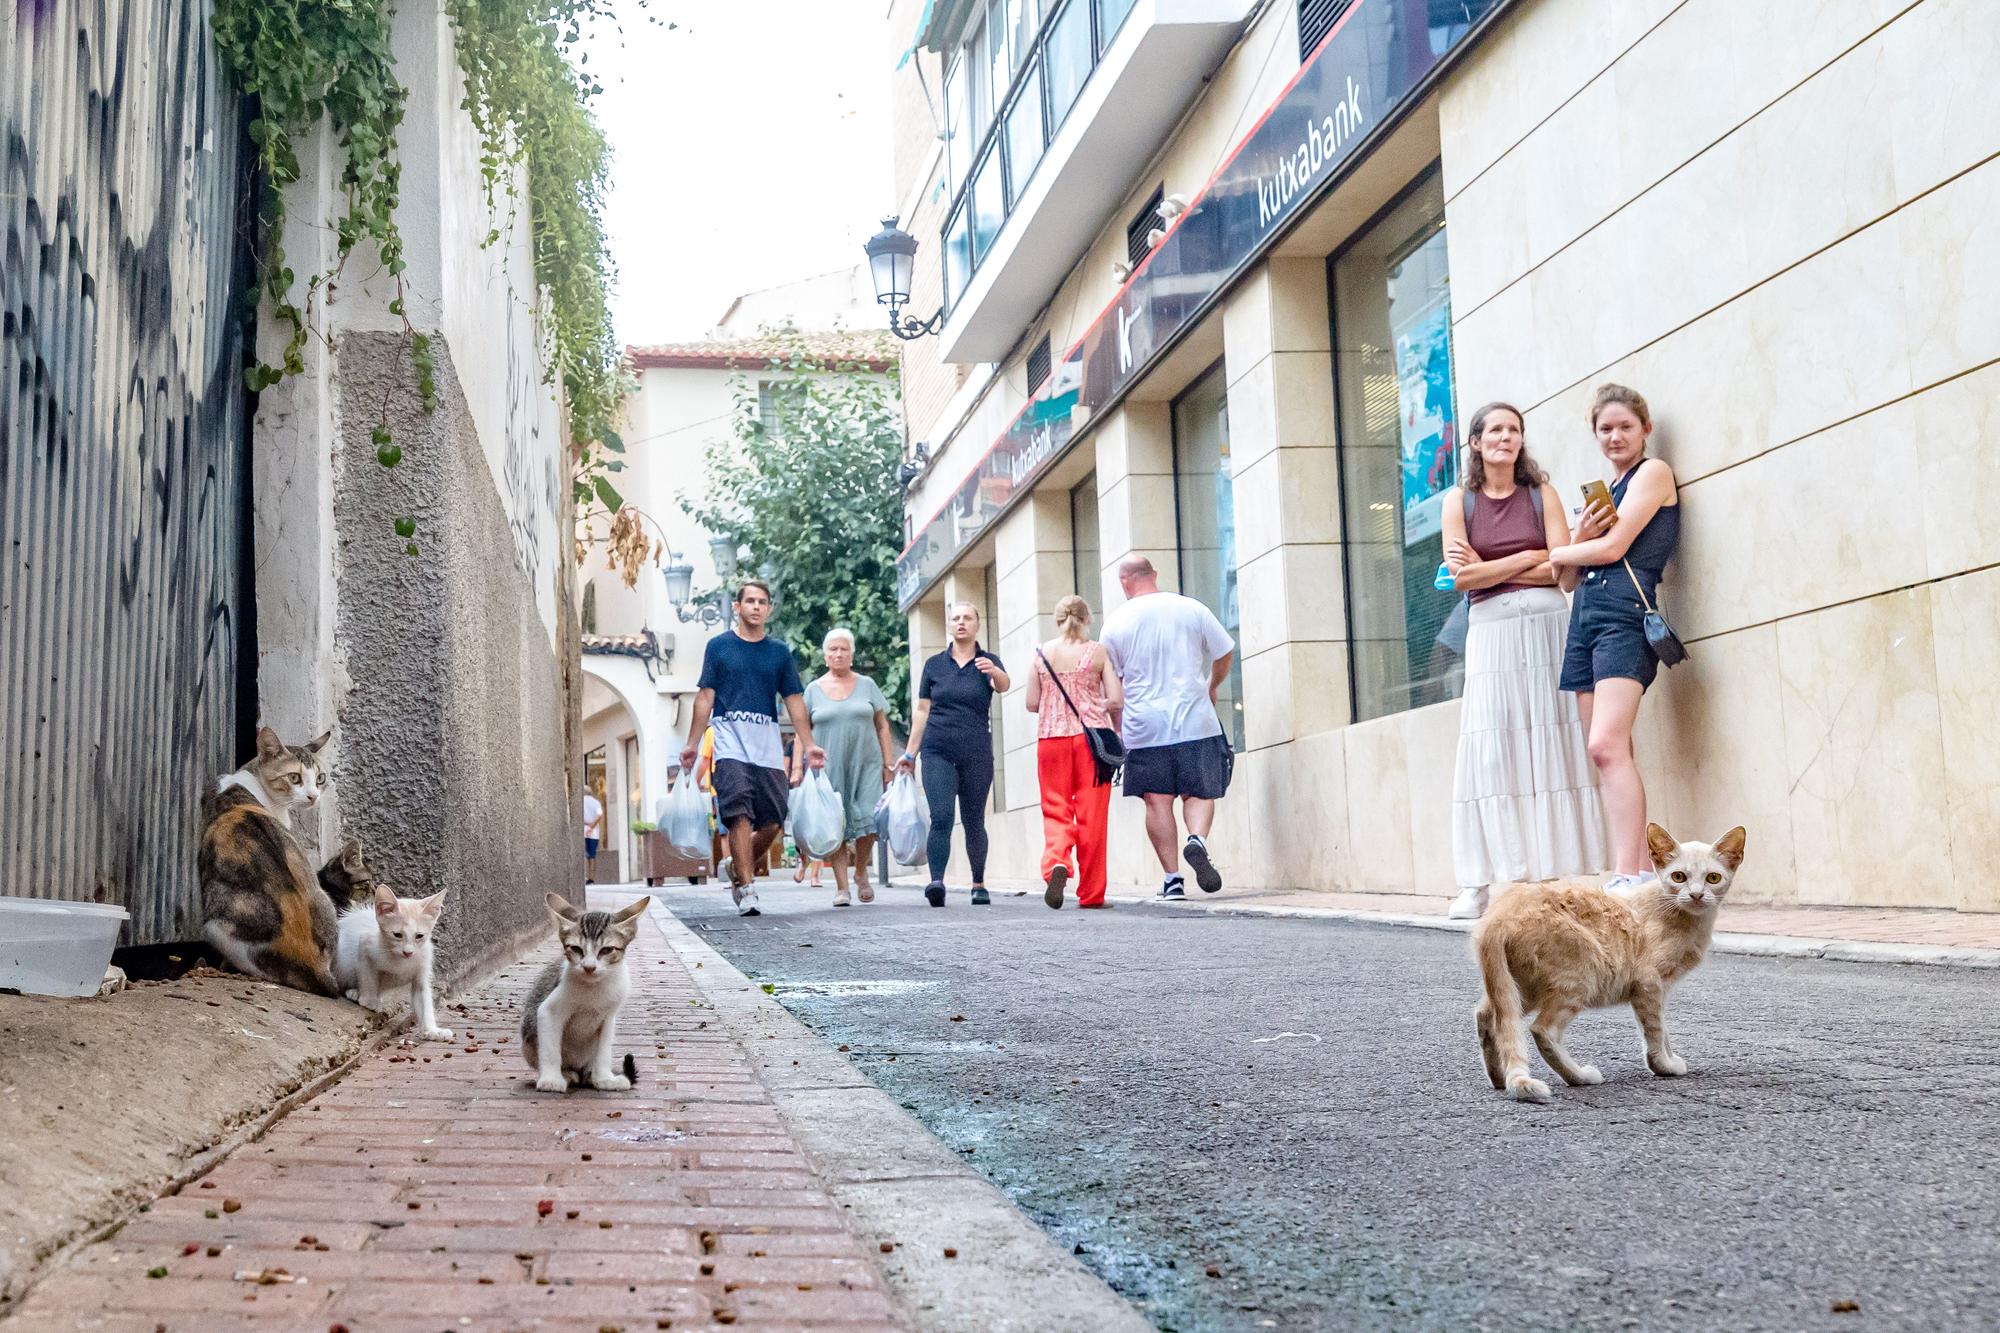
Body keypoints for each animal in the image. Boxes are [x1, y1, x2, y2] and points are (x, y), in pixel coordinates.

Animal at [336, 880, 454, 1040]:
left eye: (419, 936)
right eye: (397, 935)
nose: (408, 952)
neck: (400, 960)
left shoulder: (423, 965)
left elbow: (424, 996)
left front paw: (432, 1030)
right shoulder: (366, 942)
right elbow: (368, 975)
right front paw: (368, 1001)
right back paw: (353, 992)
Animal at [516, 892, 648, 1088]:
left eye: (607, 950)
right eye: (576, 949)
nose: (589, 967)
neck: (594, 988)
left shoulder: (608, 1018)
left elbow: (603, 1052)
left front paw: (603, 1079)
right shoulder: (548, 1010)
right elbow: (550, 1050)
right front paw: (551, 1080)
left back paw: (590, 1076)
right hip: (529, 1037)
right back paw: (567, 1074)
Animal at [1472, 820, 1752, 1096]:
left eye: (1713, 878)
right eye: (1679, 877)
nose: (1696, 895)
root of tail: (1499, 916)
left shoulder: (1658, 989)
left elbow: (1663, 1029)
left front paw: (1669, 1059)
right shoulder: (1649, 983)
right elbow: (1656, 1030)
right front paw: (1663, 1065)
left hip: (1517, 988)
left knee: (1489, 1017)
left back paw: (1498, 1078)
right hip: (1577, 981)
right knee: (1542, 1031)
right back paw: (1580, 1077)